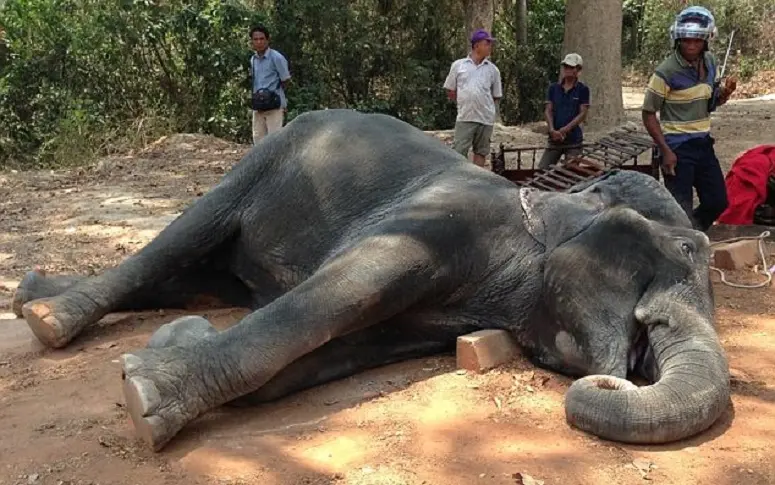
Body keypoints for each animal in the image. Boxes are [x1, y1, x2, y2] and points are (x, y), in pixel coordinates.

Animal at [10, 108, 728, 450]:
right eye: (680, 249)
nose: (620, 374)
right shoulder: (436, 222)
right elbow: (333, 296)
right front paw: (141, 399)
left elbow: (319, 358)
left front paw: (174, 345)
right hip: (266, 155)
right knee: (178, 241)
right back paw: (47, 319)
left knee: (196, 276)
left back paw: (36, 295)